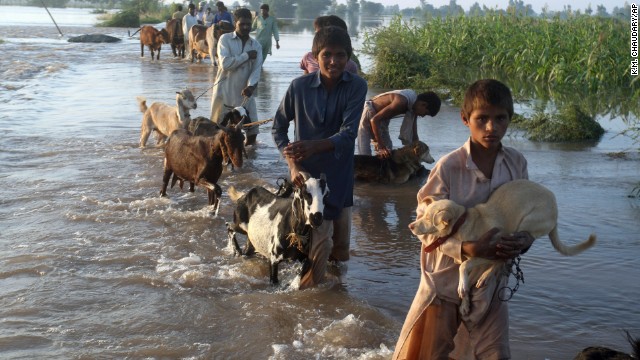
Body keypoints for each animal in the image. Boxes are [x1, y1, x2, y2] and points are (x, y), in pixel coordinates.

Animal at [408, 180, 596, 316]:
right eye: (422, 215)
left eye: (428, 219)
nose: (411, 226)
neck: (463, 222)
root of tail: (556, 212)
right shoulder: (469, 256)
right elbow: (464, 272)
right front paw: (464, 303)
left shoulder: (485, 252)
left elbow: (465, 266)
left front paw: (463, 287)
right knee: (504, 259)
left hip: (523, 226)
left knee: (506, 257)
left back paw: (486, 275)